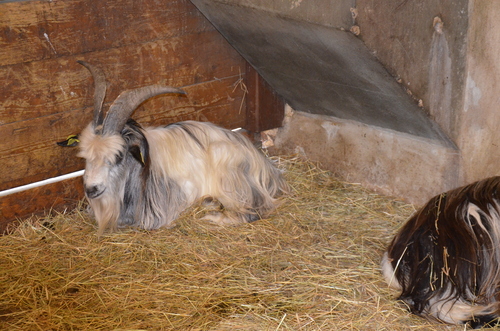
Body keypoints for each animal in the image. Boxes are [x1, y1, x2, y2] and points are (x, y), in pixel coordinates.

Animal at [73, 61, 290, 236]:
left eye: (118, 156)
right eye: (85, 157)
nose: (91, 189)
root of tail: (267, 168)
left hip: (230, 172)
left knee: (255, 211)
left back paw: (211, 217)